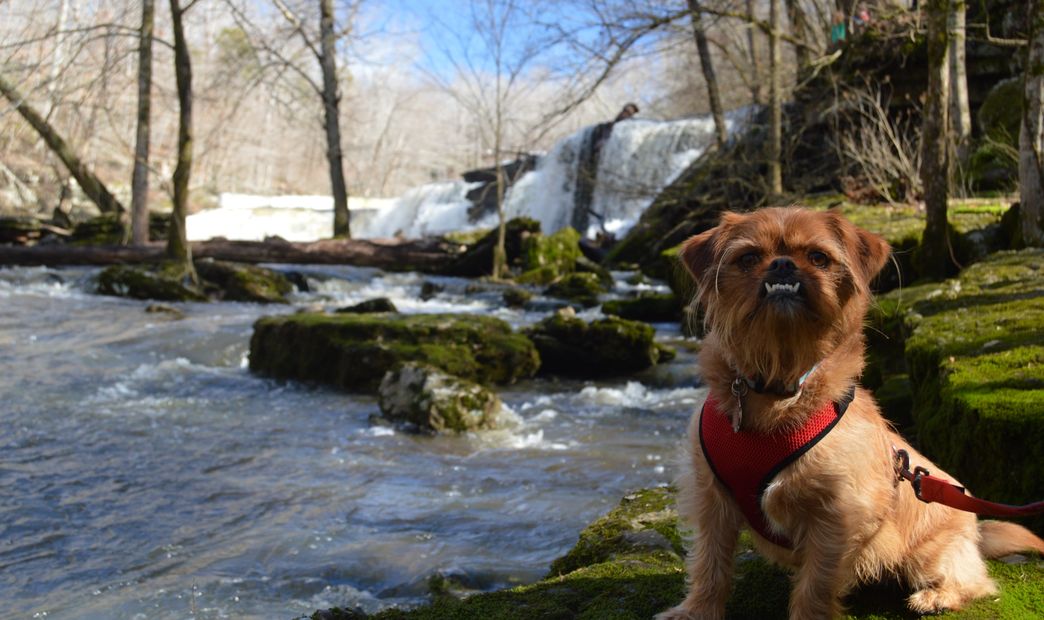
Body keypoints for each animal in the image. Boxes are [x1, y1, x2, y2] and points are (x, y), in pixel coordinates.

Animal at [659, 207, 1044, 617]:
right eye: (748, 258)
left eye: (818, 258)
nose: (782, 264)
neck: (780, 387)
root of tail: (976, 531)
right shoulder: (710, 500)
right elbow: (709, 563)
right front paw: (696, 611)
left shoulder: (836, 516)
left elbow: (816, 583)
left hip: (931, 555)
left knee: (975, 581)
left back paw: (938, 595)